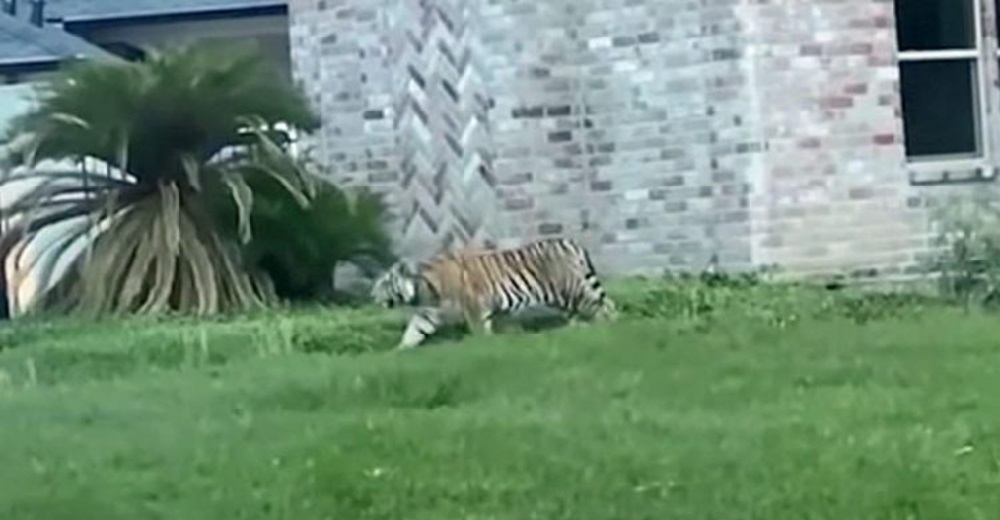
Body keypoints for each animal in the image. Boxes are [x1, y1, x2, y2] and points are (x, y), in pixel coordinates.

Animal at [368, 238, 616, 352]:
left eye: (383, 284)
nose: (371, 295)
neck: (422, 291)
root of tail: (570, 242)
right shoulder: (428, 314)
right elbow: (412, 333)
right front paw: (397, 352)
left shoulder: (474, 309)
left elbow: (480, 332)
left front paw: (484, 346)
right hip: (563, 297)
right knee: (601, 306)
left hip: (571, 289)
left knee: (602, 307)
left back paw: (607, 329)